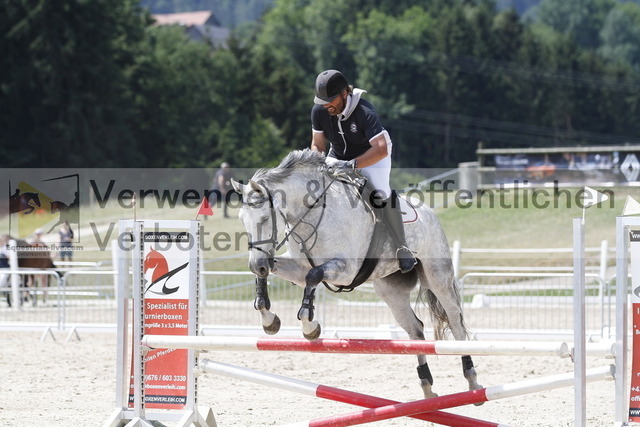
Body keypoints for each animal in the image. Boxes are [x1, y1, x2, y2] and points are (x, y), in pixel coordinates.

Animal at [231, 149, 482, 401]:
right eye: (242, 219)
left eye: (264, 219)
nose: (257, 264)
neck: (312, 214)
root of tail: (429, 213)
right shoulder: (297, 268)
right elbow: (279, 275)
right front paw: (269, 319)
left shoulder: (345, 269)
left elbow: (314, 275)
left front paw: (310, 326)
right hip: (390, 290)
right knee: (415, 329)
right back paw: (427, 387)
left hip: (437, 278)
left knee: (455, 321)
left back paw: (471, 379)